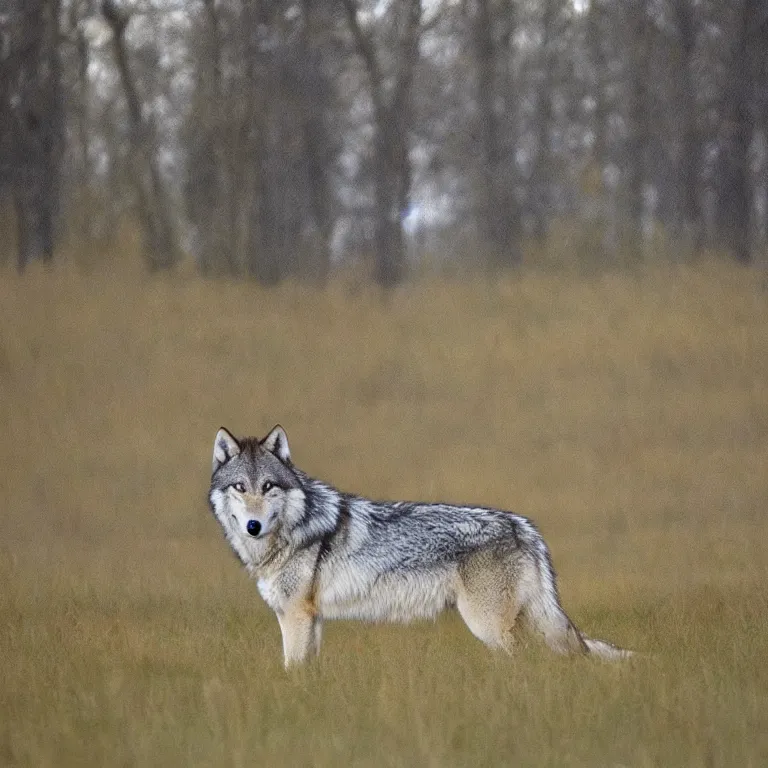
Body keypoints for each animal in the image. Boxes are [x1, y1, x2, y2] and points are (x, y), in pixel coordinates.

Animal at [206, 426, 632, 664]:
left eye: (268, 487)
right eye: (240, 487)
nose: (254, 526)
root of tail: (522, 526)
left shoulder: (295, 616)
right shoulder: (310, 618)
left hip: (489, 627)